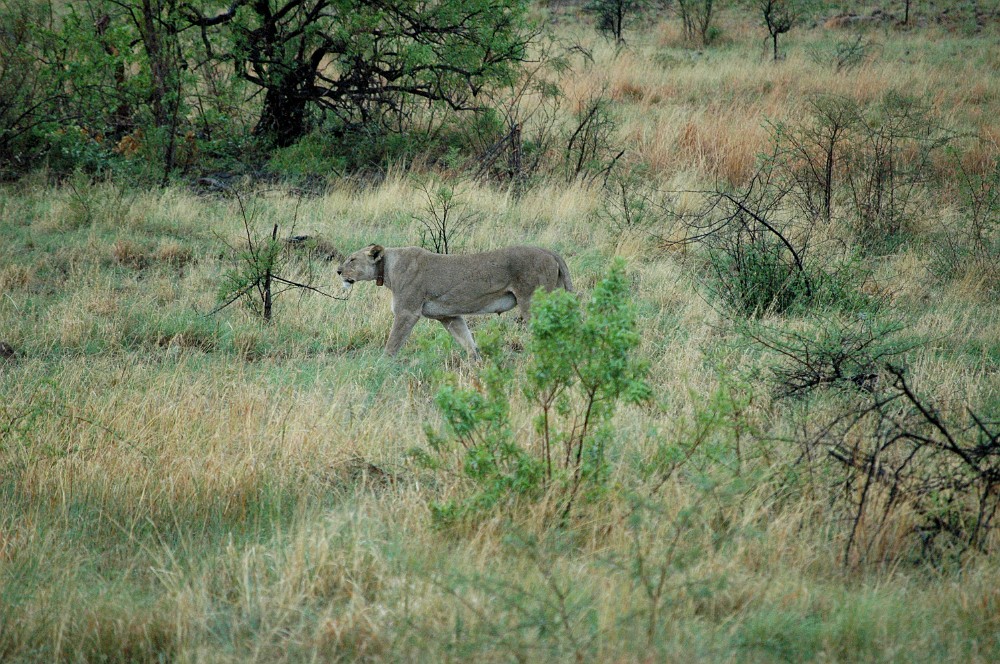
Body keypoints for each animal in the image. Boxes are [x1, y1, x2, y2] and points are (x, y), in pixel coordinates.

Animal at [337, 244, 573, 358]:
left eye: (352, 259)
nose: (338, 271)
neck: (387, 267)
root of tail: (548, 251)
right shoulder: (448, 315)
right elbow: (467, 341)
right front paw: (477, 364)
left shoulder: (407, 312)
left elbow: (392, 344)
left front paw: (381, 366)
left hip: (532, 302)